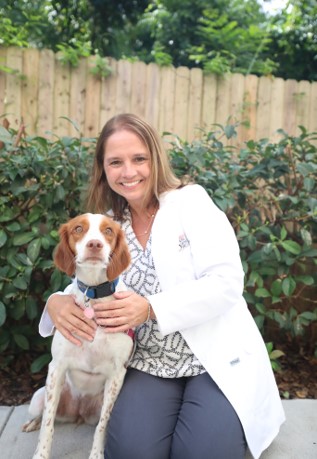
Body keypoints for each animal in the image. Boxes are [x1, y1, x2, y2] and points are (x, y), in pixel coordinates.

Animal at [22, 214, 133, 458]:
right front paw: (40, 454)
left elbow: (103, 425)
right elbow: (48, 424)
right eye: (78, 229)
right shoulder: (57, 367)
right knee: (42, 414)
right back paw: (32, 423)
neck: (93, 294)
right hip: (38, 397)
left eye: (108, 231)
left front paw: (97, 454)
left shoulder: (117, 375)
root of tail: (79, 413)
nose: (95, 244)